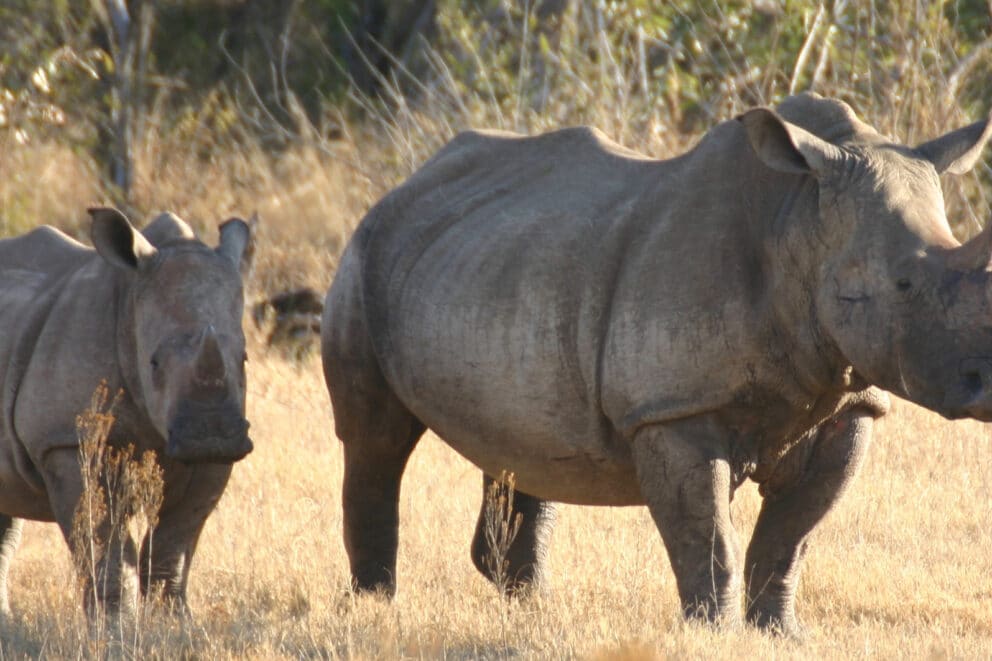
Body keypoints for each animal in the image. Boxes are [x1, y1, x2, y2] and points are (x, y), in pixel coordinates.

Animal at [0, 207, 254, 617]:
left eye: (244, 359)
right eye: (153, 363)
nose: (211, 436)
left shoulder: (215, 461)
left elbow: (173, 544)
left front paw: (173, 623)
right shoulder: (66, 440)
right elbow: (105, 545)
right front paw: (115, 624)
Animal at [321, 92, 992, 634]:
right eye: (903, 285)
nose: (985, 387)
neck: (797, 219)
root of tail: (404, 185)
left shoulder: (847, 405)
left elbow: (790, 538)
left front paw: (782, 634)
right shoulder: (671, 410)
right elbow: (707, 539)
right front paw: (713, 634)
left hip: (495, 263)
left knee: (520, 446)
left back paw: (536, 613)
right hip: (363, 256)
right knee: (375, 439)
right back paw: (376, 609)